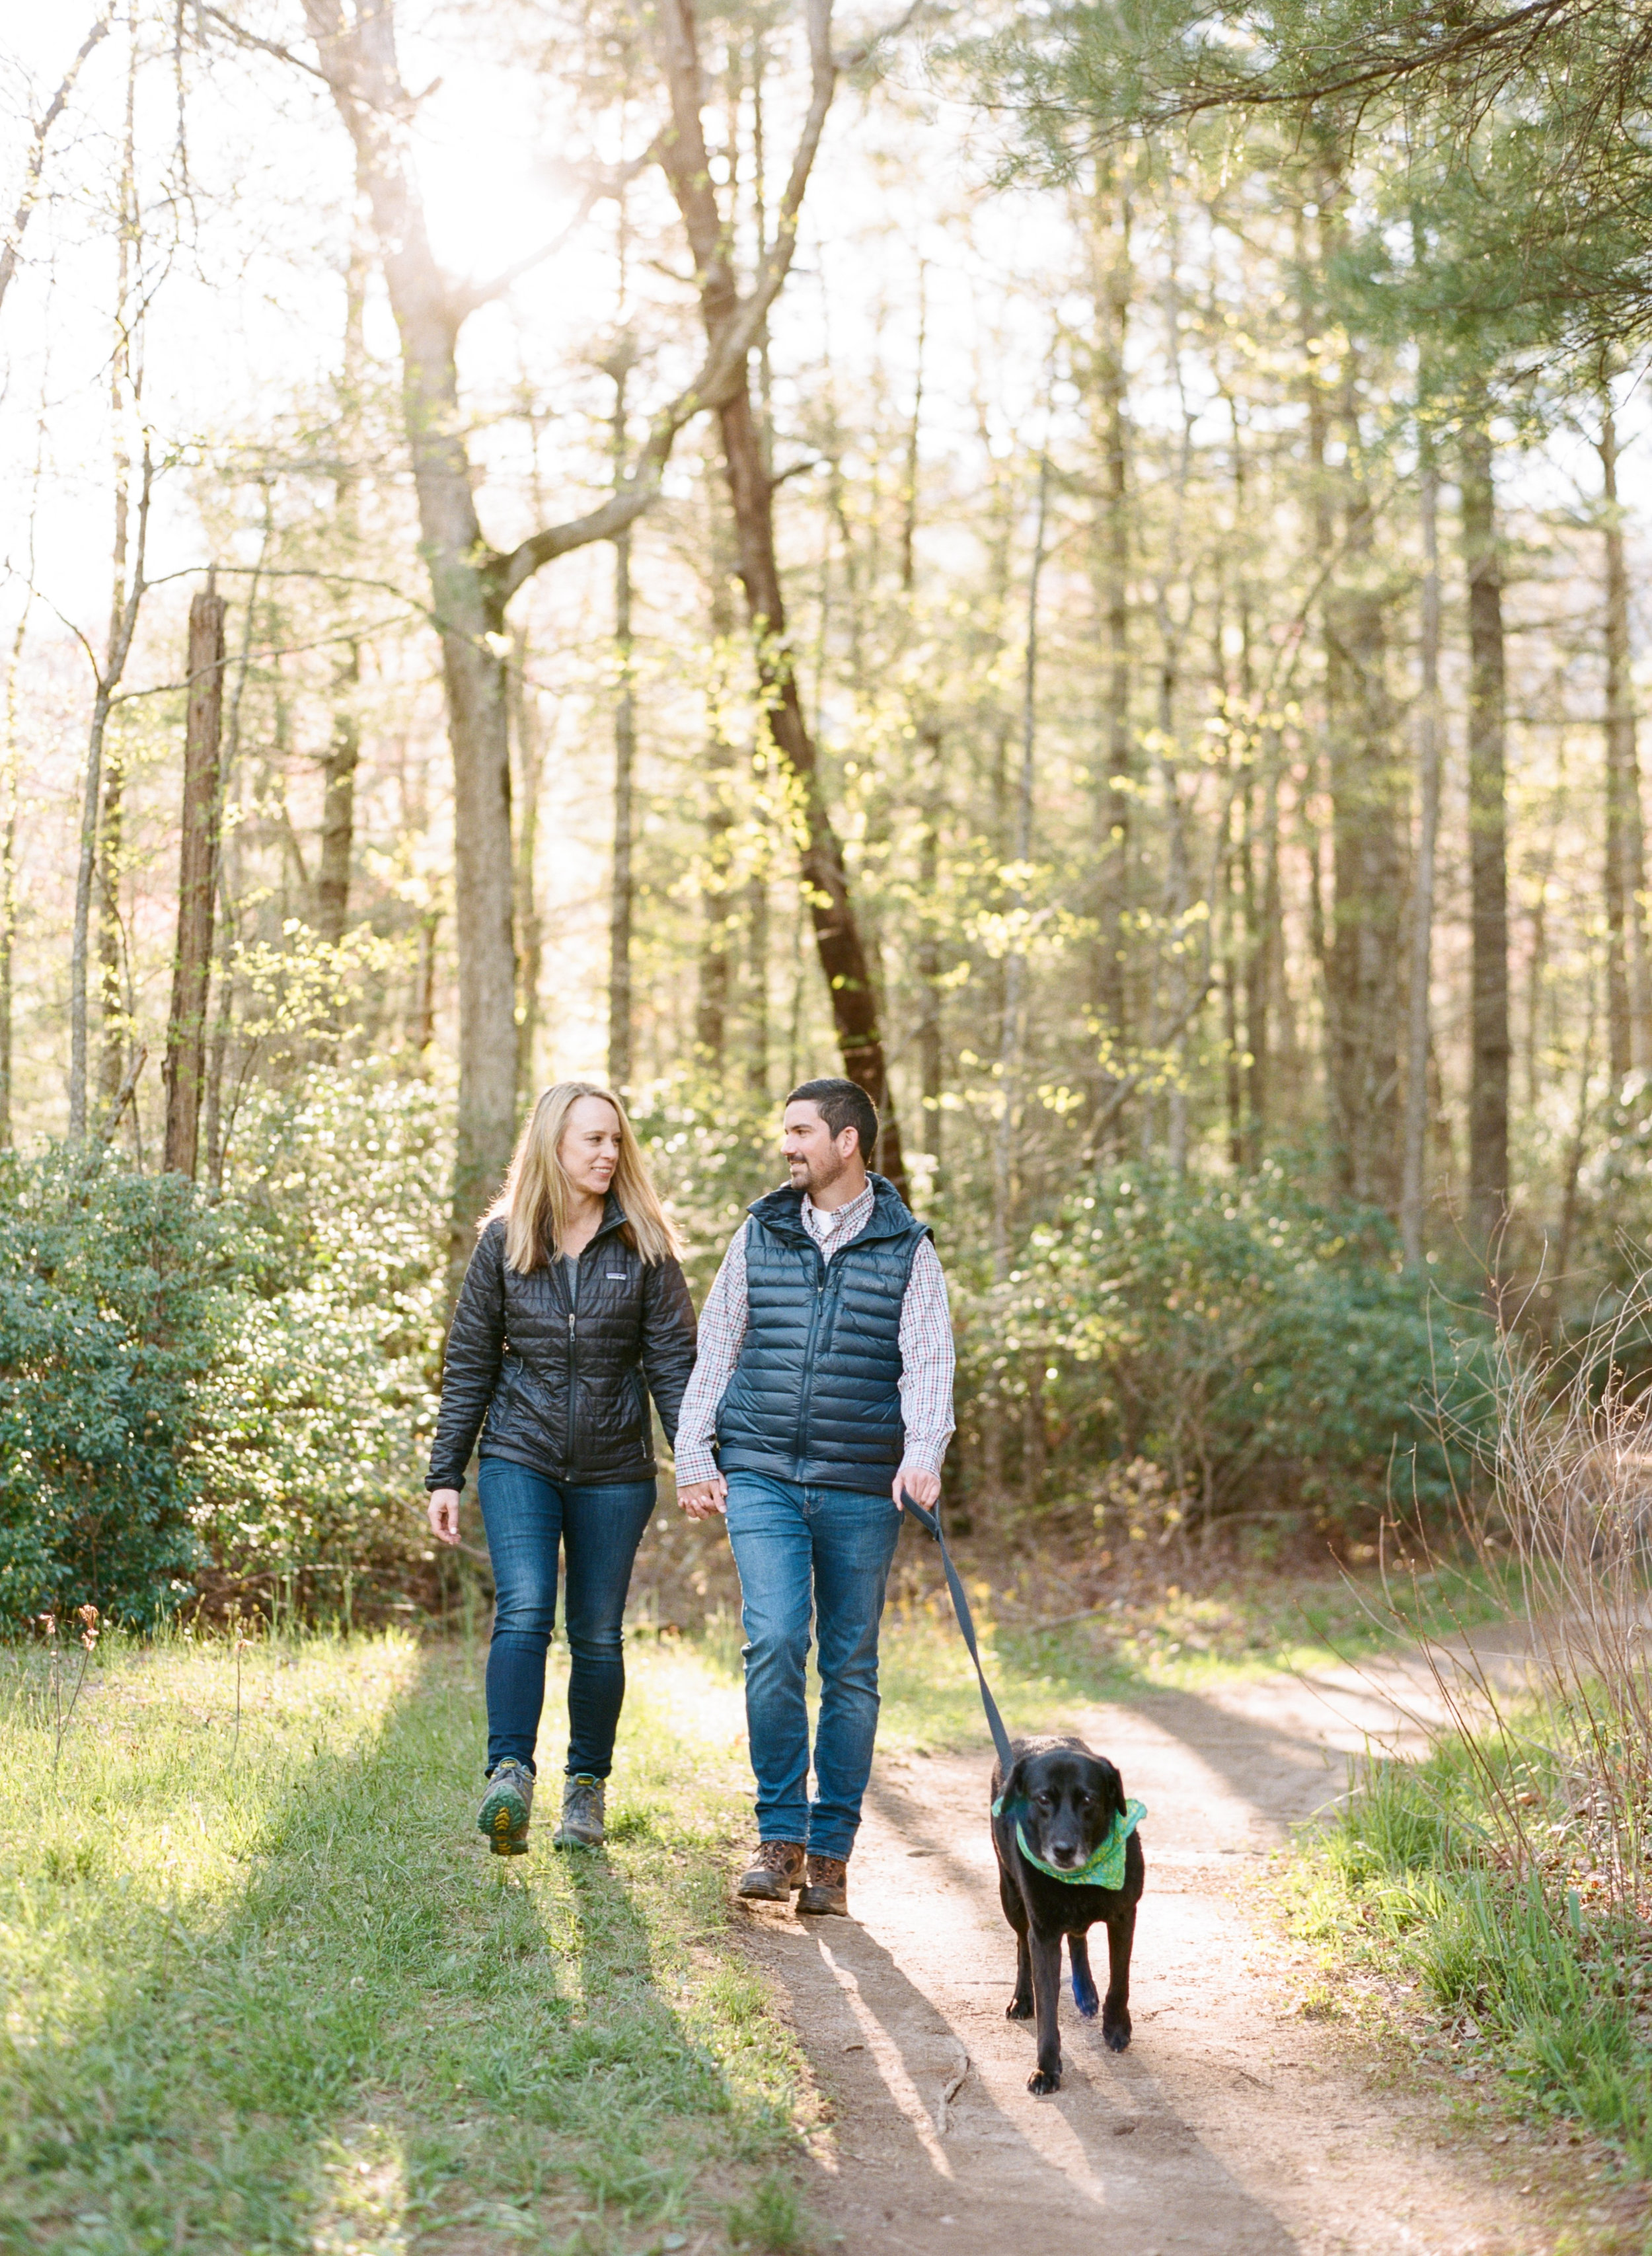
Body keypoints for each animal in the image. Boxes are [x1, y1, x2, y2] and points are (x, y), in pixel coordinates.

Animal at [988, 1732, 1142, 2084]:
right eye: (1043, 1799)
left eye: (1088, 1800)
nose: (1063, 1850)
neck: (1079, 1879)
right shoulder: (1044, 1933)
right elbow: (1047, 2003)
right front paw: (1046, 2067)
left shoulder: (1124, 1916)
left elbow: (1120, 1979)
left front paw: (1116, 2027)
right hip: (1011, 1897)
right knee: (1023, 1946)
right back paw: (1022, 1998)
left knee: (1077, 1938)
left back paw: (1086, 1993)